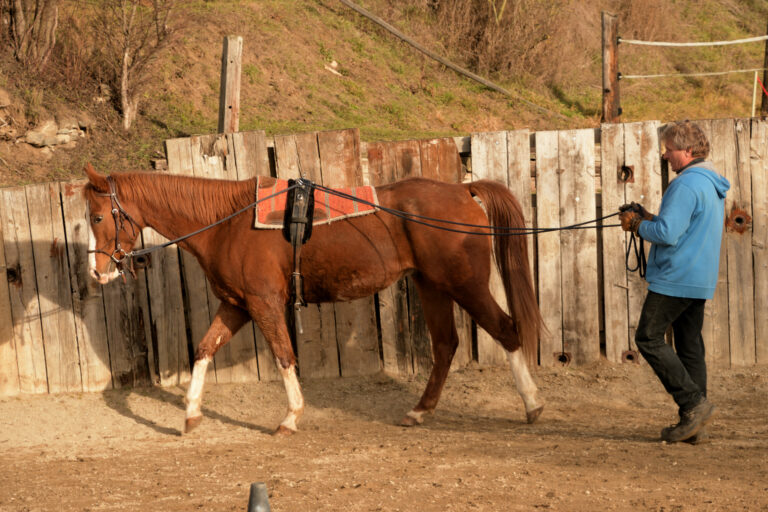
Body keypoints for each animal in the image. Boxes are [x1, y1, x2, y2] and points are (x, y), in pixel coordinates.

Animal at [82, 162, 544, 434]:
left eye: (98, 215)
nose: (98, 271)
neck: (226, 222)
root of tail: (463, 191)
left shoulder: (264, 304)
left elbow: (284, 355)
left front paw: (290, 417)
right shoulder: (236, 306)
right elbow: (203, 349)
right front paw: (192, 414)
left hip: (466, 286)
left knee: (506, 331)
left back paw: (533, 404)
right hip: (432, 286)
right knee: (446, 345)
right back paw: (420, 411)